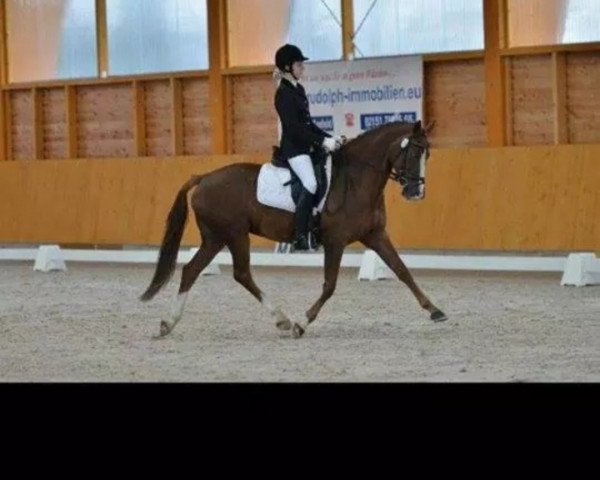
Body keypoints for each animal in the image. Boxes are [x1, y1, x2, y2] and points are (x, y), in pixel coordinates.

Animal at [143, 120, 448, 338]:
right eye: (415, 151)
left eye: (429, 154)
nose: (416, 193)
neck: (356, 179)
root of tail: (204, 177)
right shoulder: (336, 241)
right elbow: (330, 285)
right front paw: (303, 322)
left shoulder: (375, 235)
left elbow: (402, 271)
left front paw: (435, 311)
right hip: (233, 234)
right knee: (240, 273)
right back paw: (283, 320)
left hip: (215, 238)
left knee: (192, 270)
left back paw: (168, 323)